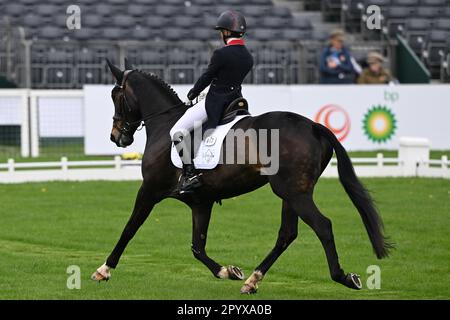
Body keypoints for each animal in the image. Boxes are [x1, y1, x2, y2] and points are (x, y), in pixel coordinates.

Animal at [90, 58, 390, 294]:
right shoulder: (200, 202)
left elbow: (129, 229)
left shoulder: (149, 190)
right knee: (287, 234)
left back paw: (344, 277)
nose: (116, 137)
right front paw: (228, 271)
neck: (165, 123)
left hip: (294, 193)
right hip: (292, 193)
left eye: (116, 96)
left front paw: (104, 269)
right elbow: (197, 246)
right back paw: (252, 280)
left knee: (322, 226)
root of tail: (314, 126)